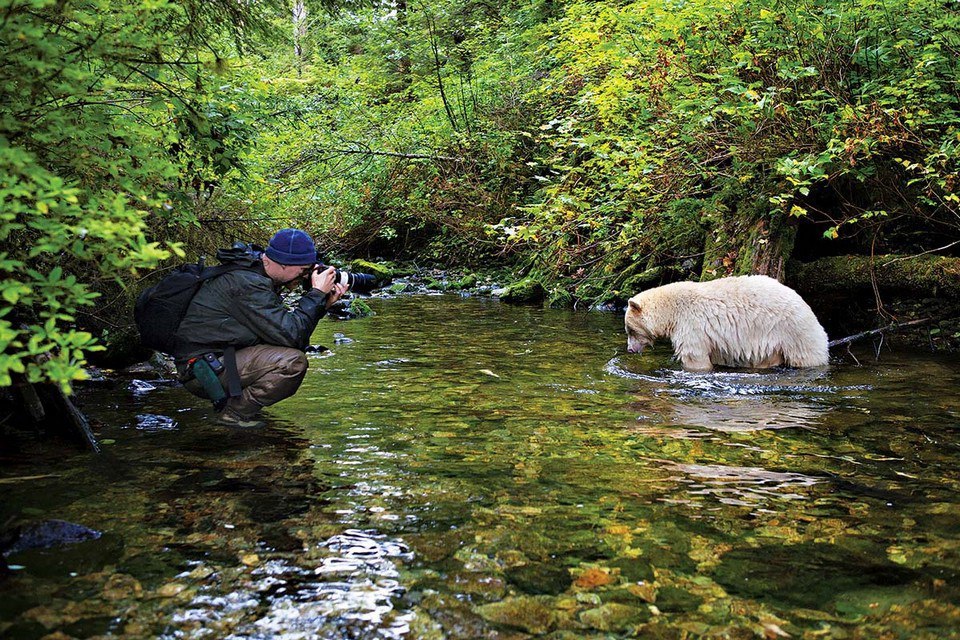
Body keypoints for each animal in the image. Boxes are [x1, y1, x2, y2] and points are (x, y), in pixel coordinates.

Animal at [628, 274, 828, 372]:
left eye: (630, 330)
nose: (630, 349)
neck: (673, 310)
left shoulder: (692, 325)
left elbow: (694, 356)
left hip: (793, 332)